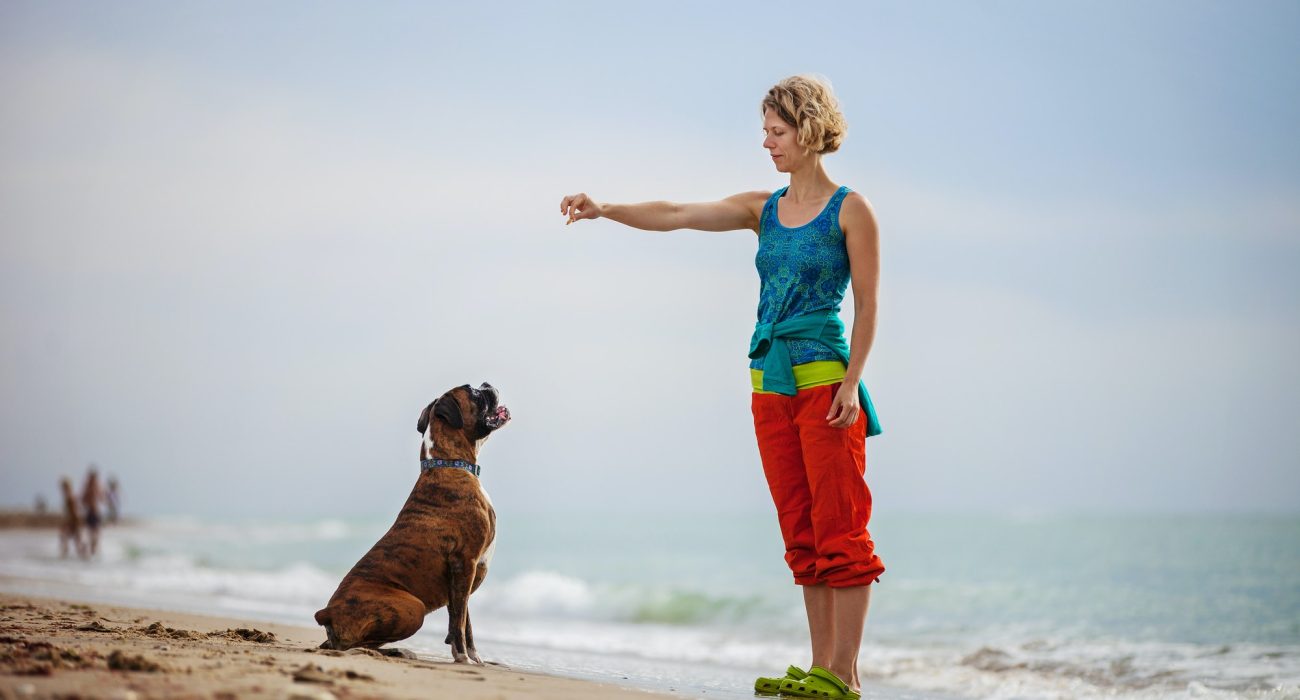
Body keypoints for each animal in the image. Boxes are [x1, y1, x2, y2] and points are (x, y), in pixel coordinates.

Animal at [314, 382, 512, 658]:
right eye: (473, 392)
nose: (486, 384)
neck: (450, 462)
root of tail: (328, 612)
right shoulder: (464, 564)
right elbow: (459, 622)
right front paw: (463, 658)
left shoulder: (462, 578)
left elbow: (464, 620)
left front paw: (475, 658)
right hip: (414, 608)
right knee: (353, 645)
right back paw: (396, 651)